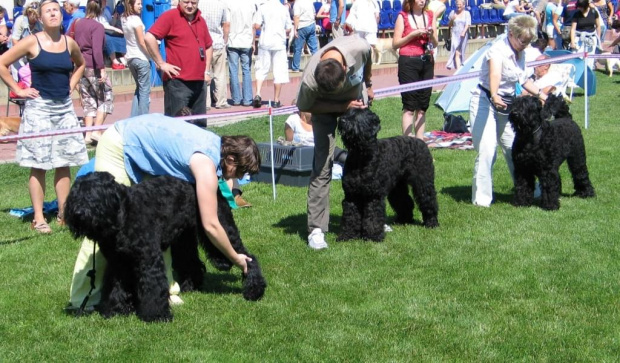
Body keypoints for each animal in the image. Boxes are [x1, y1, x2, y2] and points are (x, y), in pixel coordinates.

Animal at [63, 172, 266, 322]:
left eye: (95, 193)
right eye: (75, 193)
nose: (78, 213)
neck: (123, 214)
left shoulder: (148, 259)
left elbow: (152, 286)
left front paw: (156, 315)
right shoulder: (118, 263)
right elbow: (115, 286)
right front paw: (116, 310)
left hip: (221, 228)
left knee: (247, 257)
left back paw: (254, 289)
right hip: (184, 239)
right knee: (190, 261)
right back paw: (191, 285)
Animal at [336, 109, 438, 245]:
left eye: (358, 115)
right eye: (348, 112)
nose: (341, 120)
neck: (362, 157)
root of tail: (420, 141)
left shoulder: (373, 196)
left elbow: (373, 217)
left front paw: (373, 237)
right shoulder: (351, 195)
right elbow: (350, 217)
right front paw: (347, 236)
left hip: (423, 182)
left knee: (428, 200)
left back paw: (432, 222)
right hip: (397, 188)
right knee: (404, 201)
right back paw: (403, 220)